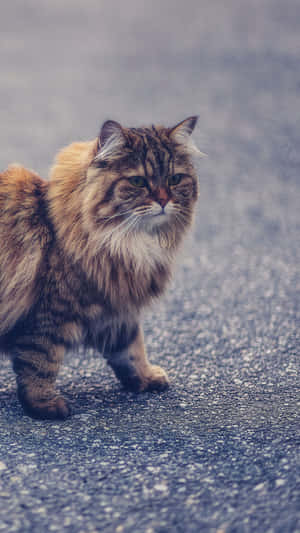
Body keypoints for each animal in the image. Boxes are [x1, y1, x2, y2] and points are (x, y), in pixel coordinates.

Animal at [0, 115, 202, 416]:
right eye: (138, 181)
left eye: (174, 179)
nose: (164, 200)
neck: (130, 242)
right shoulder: (49, 315)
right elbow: (40, 363)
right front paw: (45, 405)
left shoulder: (116, 307)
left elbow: (132, 349)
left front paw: (145, 377)